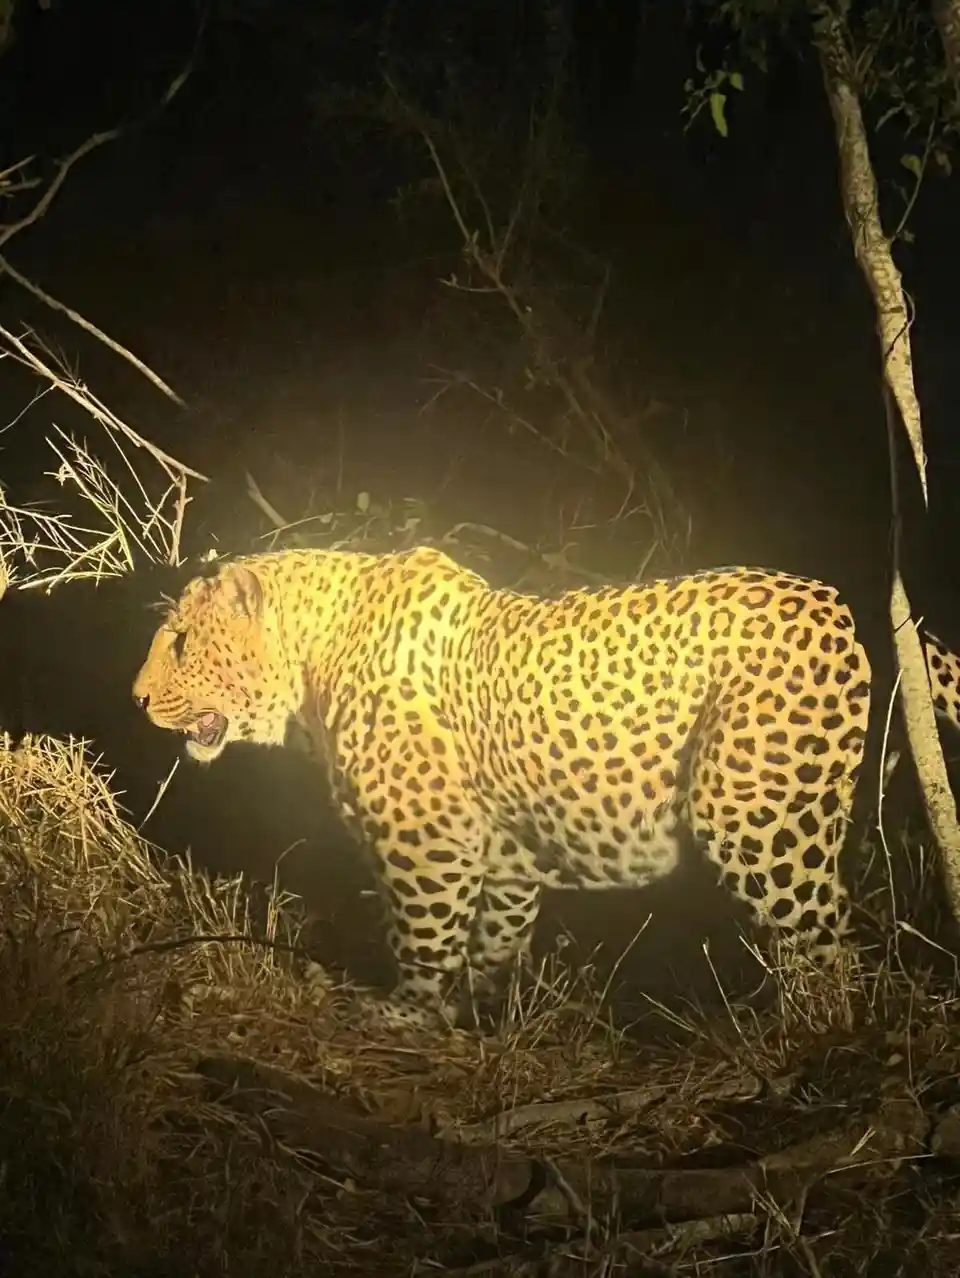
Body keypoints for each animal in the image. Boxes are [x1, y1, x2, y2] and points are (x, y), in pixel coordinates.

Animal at [131, 546, 960, 1028]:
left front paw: (405, 1013)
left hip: (754, 818)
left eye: (181, 641)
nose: (135, 699)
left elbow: (422, 936)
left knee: (825, 942)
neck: (312, 659)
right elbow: (492, 939)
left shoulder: (427, 843)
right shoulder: (505, 855)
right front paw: (478, 1014)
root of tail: (843, 600)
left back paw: (815, 1043)